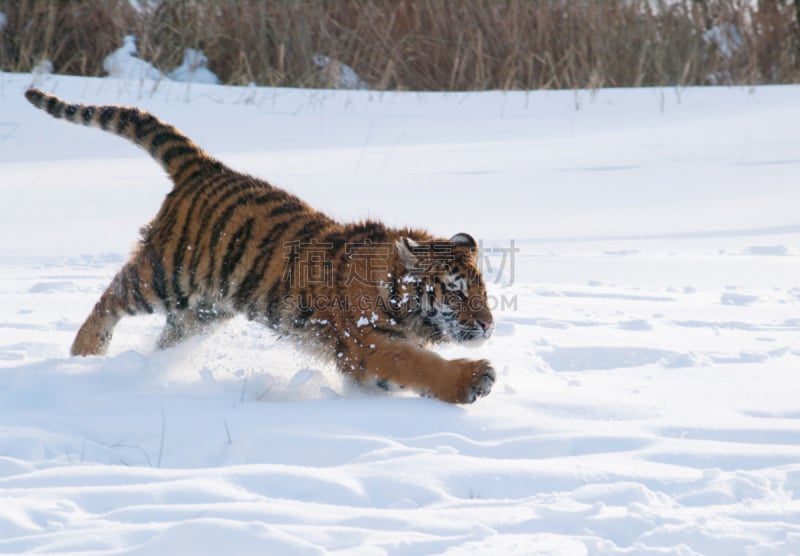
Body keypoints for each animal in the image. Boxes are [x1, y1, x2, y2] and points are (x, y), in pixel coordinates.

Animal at [25, 89, 494, 406]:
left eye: (484, 291)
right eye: (456, 291)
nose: (489, 326)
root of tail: (203, 165)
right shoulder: (369, 343)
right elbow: (420, 365)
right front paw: (474, 379)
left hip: (204, 309)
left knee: (164, 338)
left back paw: (146, 372)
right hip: (165, 275)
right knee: (112, 297)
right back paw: (85, 352)